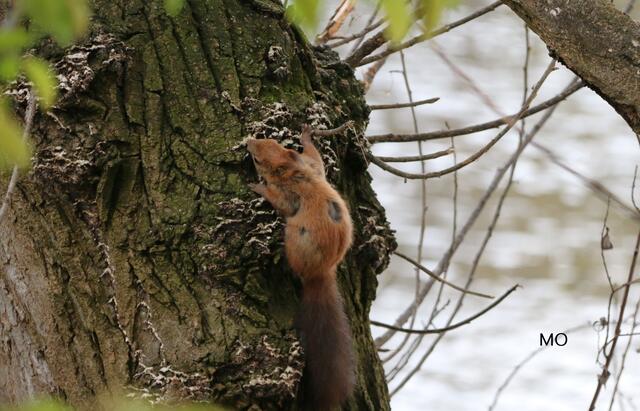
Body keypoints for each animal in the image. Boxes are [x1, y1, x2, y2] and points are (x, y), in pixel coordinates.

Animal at [246, 125, 355, 410]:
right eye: (270, 141)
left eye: (257, 160)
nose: (249, 141)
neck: (296, 172)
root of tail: (321, 272)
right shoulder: (313, 167)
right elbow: (317, 158)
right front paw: (306, 136)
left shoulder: (289, 195)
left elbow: (279, 201)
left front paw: (257, 187)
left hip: (294, 239)